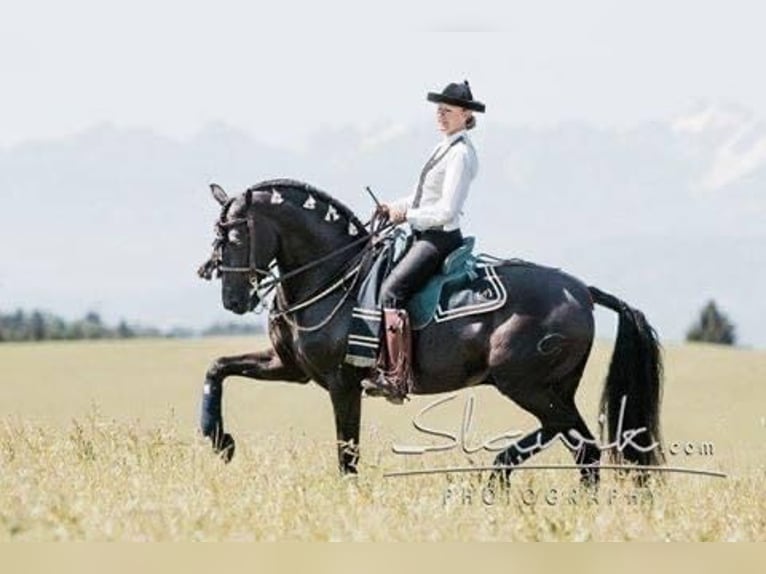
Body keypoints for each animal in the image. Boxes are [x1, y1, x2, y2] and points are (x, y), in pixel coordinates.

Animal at [196, 179, 663, 485]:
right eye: (217, 237)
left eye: (235, 237)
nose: (234, 300)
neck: (332, 274)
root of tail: (582, 291)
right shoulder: (289, 366)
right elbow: (217, 367)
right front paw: (220, 441)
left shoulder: (342, 382)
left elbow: (348, 452)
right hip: (548, 386)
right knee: (580, 444)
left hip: (525, 383)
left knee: (573, 437)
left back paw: (499, 476)